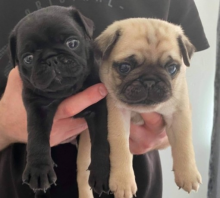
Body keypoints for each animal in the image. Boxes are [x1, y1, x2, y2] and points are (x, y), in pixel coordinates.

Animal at [8, 5, 110, 197]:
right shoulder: (37, 106)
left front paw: (101, 173)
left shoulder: (98, 108)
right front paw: (39, 169)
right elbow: (37, 135)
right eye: (28, 59)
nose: (51, 59)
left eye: (72, 43)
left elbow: (101, 141)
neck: (67, 91)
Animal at [95, 17, 202, 197]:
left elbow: (184, 144)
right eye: (125, 67)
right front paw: (123, 181)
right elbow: (121, 147)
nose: (150, 81)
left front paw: (188, 174)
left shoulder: (179, 114)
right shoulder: (118, 115)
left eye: (171, 68)